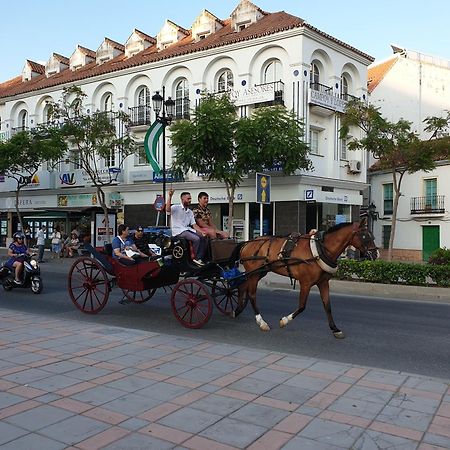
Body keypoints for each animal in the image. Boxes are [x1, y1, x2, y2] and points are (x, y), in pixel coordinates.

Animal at [234, 218, 378, 338]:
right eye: (364, 235)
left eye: (371, 234)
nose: (376, 254)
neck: (319, 251)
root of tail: (247, 243)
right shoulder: (305, 283)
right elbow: (302, 306)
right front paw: (284, 320)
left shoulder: (323, 282)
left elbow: (327, 306)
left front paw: (335, 329)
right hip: (253, 273)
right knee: (252, 294)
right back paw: (261, 322)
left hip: (260, 272)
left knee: (242, 287)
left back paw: (238, 310)